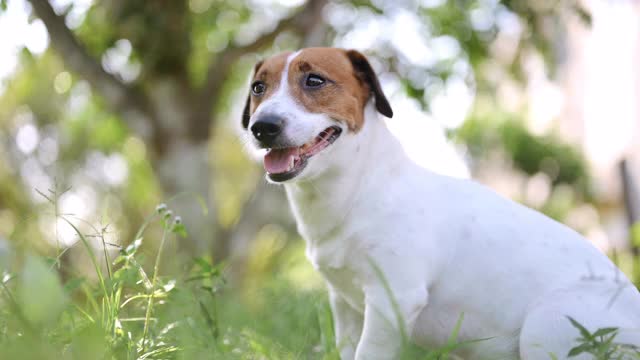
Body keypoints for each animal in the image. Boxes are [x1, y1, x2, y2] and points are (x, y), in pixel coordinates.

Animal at [240, 47, 640, 358]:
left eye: (314, 81)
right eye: (259, 87)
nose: (262, 127)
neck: (363, 187)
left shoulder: (392, 301)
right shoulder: (345, 305)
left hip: (548, 323)